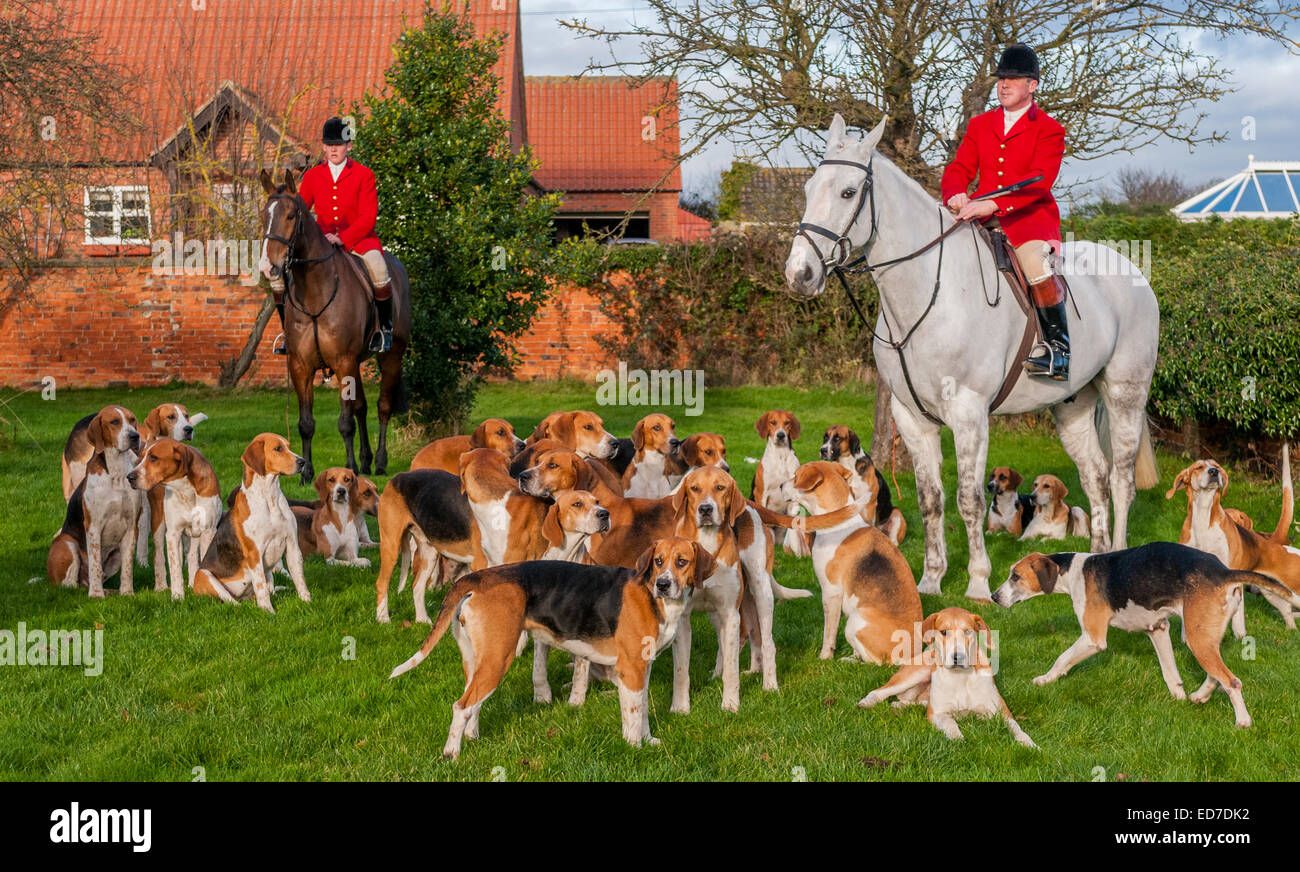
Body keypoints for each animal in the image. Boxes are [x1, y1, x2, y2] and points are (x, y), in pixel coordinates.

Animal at [258, 168, 410, 483]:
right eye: (264, 215)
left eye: (290, 215)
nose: (268, 267)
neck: (315, 290)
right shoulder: (301, 365)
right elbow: (306, 423)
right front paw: (306, 473)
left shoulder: (343, 361)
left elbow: (345, 422)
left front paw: (348, 469)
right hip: (357, 362)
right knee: (362, 408)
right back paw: (365, 461)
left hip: (390, 355)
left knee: (383, 408)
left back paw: (378, 462)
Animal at [780, 115, 1159, 602]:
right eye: (809, 188)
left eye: (848, 192)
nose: (799, 275)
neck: (927, 290)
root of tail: (1132, 270)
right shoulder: (912, 418)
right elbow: (931, 500)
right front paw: (931, 580)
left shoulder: (969, 414)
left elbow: (969, 500)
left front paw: (977, 582)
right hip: (1072, 405)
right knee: (1094, 476)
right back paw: (1094, 559)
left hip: (1125, 393)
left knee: (1120, 480)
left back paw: (1119, 553)